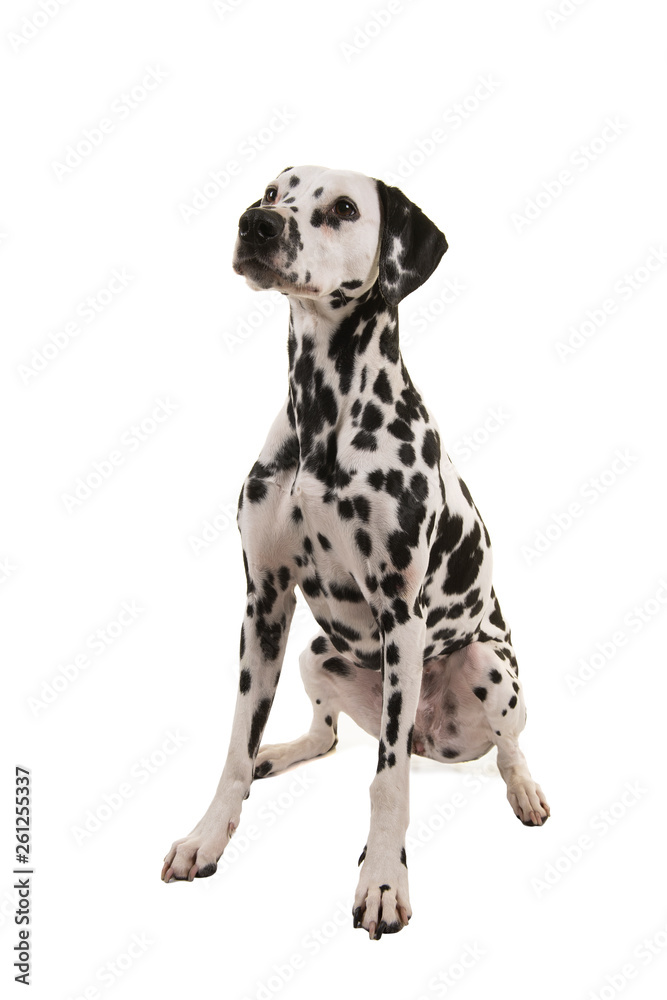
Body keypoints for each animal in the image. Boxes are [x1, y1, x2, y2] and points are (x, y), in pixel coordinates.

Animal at [160, 164, 548, 936]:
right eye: (273, 191)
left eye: (343, 208)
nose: (255, 224)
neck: (323, 413)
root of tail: (434, 736)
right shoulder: (264, 604)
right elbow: (236, 746)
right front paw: (208, 834)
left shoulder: (400, 615)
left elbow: (387, 783)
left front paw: (382, 881)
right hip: (317, 652)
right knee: (329, 735)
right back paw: (280, 754)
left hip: (487, 664)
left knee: (507, 744)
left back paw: (522, 787)